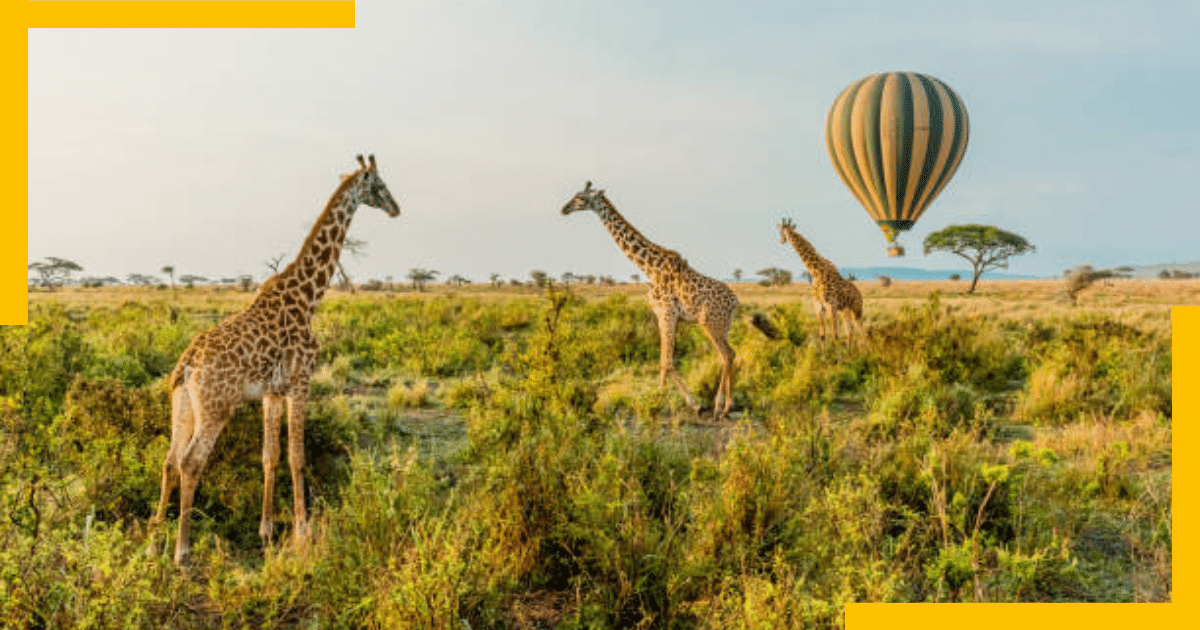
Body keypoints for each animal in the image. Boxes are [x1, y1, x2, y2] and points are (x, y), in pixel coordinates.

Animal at [151, 153, 398, 564]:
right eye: (379, 186)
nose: (396, 208)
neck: (309, 298)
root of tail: (186, 365)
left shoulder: (272, 392)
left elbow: (270, 456)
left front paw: (266, 531)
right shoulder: (301, 383)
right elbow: (298, 457)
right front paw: (303, 531)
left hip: (182, 403)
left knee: (170, 460)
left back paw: (155, 537)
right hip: (216, 407)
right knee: (190, 462)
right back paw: (182, 551)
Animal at [561, 180, 739, 417]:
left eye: (581, 197)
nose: (564, 209)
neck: (648, 268)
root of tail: (735, 302)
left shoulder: (666, 313)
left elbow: (667, 362)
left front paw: (683, 402)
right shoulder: (665, 316)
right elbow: (664, 360)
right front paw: (662, 396)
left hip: (709, 323)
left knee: (727, 355)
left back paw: (719, 406)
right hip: (723, 326)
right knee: (730, 354)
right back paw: (728, 405)